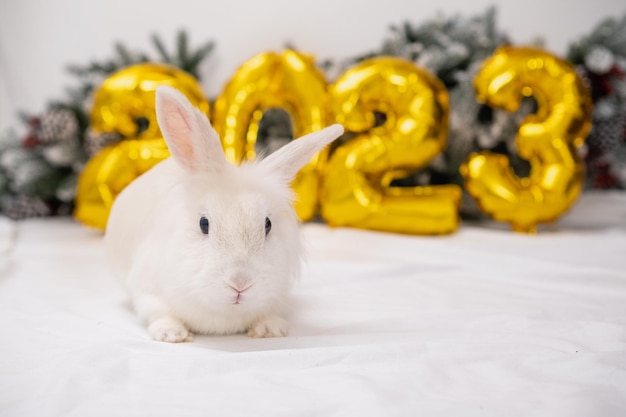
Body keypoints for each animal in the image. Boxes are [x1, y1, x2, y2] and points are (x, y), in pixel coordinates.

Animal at [105, 84, 344, 342]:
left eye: (267, 224)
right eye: (204, 224)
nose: (239, 284)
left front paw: (269, 330)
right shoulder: (147, 291)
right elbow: (159, 312)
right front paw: (172, 333)